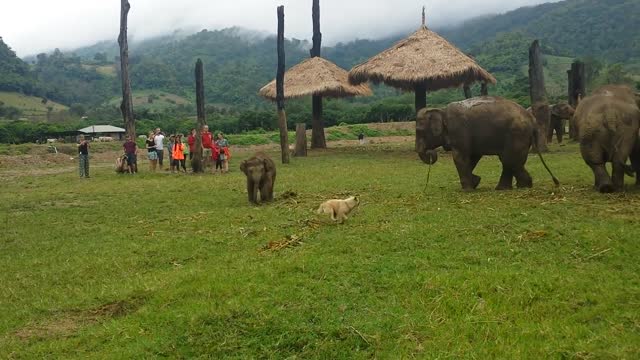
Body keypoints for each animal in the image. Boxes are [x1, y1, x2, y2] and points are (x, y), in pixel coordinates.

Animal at [416, 95, 560, 191]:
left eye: (419, 131)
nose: (431, 153)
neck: (441, 110)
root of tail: (532, 120)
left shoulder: (458, 130)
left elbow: (460, 157)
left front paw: (468, 189)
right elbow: (472, 157)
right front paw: (475, 182)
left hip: (517, 134)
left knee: (509, 160)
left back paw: (524, 186)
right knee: (509, 160)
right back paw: (506, 188)